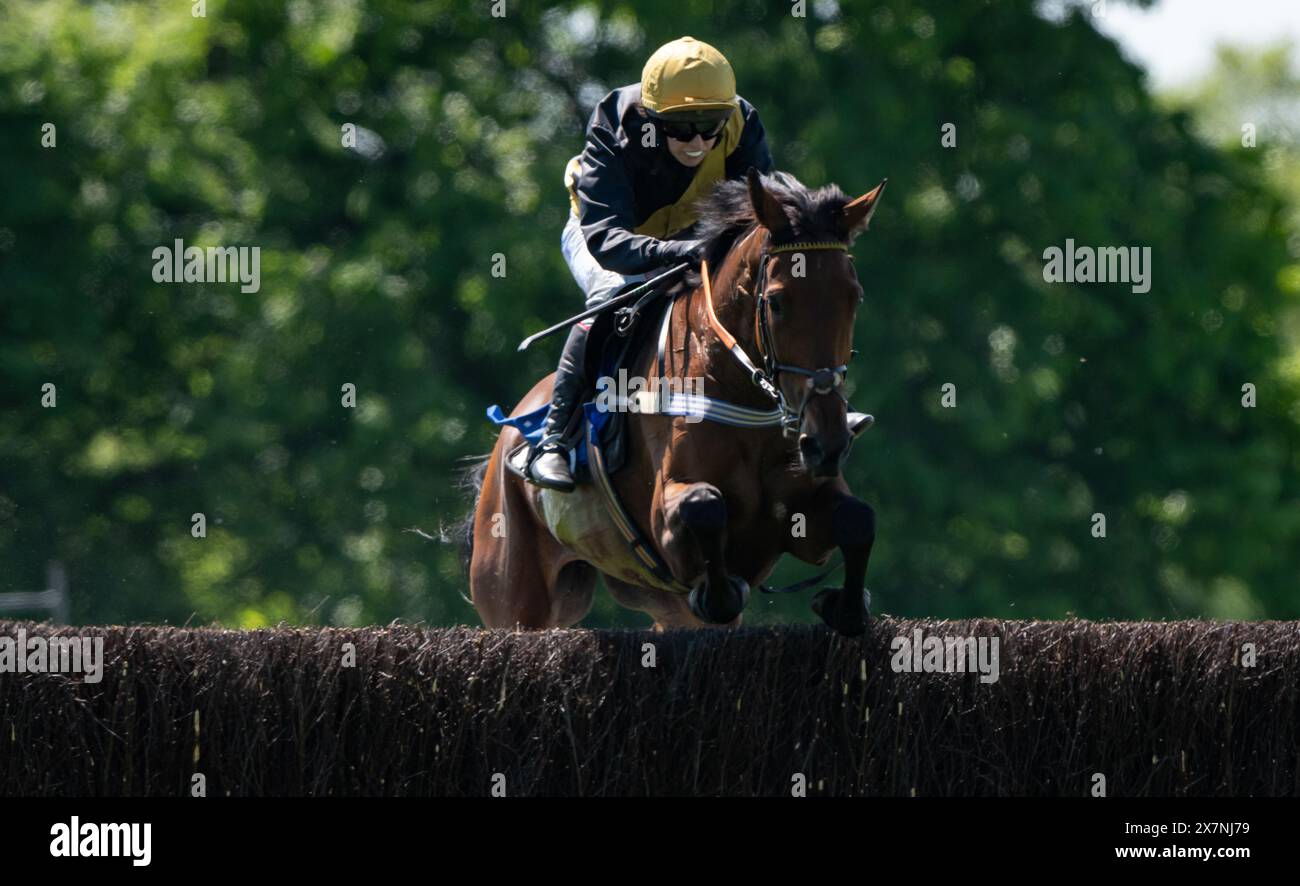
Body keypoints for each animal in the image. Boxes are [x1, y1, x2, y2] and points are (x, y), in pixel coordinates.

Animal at [465, 167, 883, 633]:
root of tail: (507, 436)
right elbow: (705, 508)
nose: (826, 444)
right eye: (776, 302)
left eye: (854, 296)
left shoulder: (805, 508)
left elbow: (858, 520)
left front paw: (844, 606)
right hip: (514, 595)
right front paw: (722, 593)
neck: (743, 396)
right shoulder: (666, 525)